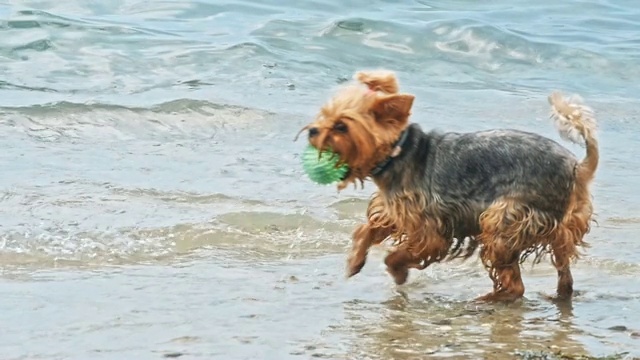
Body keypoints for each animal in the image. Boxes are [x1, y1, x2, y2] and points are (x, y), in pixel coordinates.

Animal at [302, 68, 596, 300]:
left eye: (341, 127)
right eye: (324, 115)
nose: (313, 130)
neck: (400, 151)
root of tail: (578, 168)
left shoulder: (430, 227)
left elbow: (403, 252)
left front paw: (398, 271)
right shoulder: (396, 209)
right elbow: (369, 227)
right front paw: (354, 260)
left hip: (506, 217)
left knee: (515, 284)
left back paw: (488, 300)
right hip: (560, 227)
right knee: (563, 271)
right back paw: (558, 294)